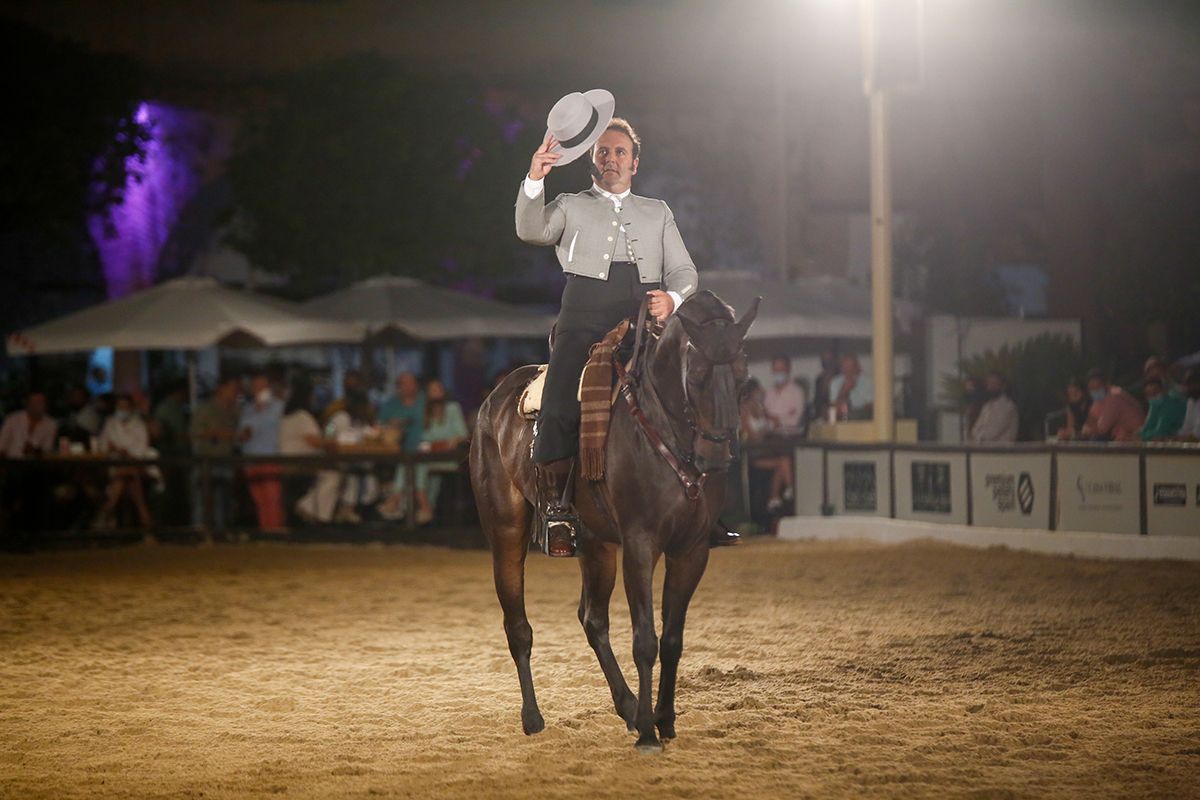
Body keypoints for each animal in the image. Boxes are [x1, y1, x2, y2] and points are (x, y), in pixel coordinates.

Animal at [468, 292, 758, 753]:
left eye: (744, 379)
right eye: (695, 377)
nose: (715, 459)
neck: (661, 430)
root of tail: (494, 398)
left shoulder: (691, 551)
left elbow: (672, 639)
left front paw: (663, 720)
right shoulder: (640, 546)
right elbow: (645, 640)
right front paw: (649, 734)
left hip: (596, 546)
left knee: (593, 619)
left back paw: (628, 706)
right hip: (506, 532)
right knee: (518, 626)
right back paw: (533, 717)